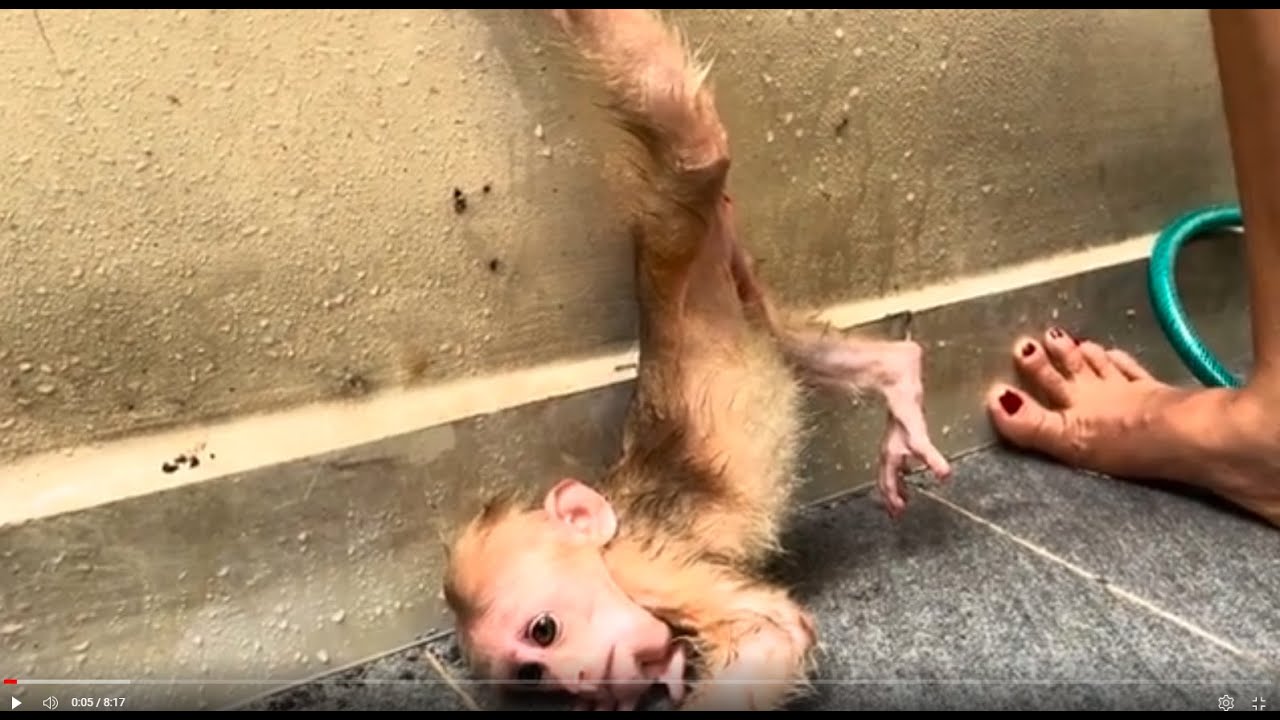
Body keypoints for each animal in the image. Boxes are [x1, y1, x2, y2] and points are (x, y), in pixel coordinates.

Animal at [440, 9, 952, 711]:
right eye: (532, 675)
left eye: (543, 631)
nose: (578, 678)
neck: (615, 527)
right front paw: (666, 670)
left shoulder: (647, 570)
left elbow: (770, 630)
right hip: (728, 275)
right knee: (790, 339)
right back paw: (897, 372)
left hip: (674, 230)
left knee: (690, 137)